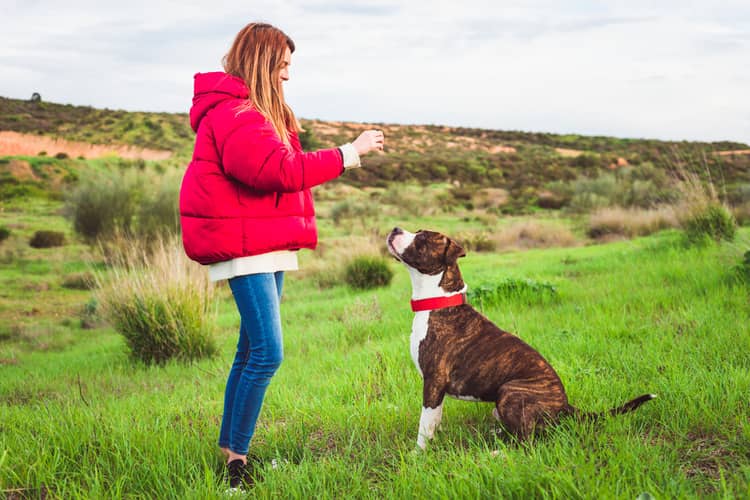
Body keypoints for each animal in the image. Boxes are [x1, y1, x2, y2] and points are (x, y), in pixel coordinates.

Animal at [384, 227, 656, 450]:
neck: (438, 301)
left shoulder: (434, 381)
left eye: (421, 239)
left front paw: (418, 455)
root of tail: (564, 404)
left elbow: (424, 425)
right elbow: (434, 421)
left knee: (527, 443)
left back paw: (497, 453)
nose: (395, 228)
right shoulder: (436, 389)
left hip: (510, 392)